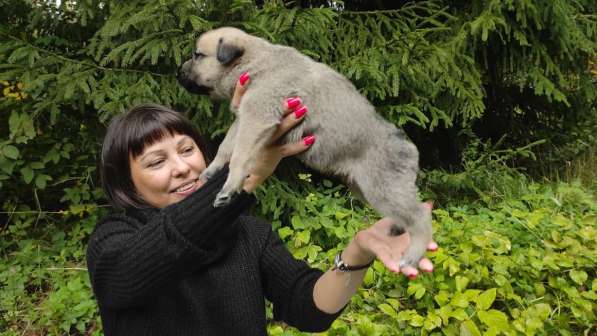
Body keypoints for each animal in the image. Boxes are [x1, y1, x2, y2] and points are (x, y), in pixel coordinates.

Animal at [175, 26, 430, 270]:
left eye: (197, 55)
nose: (178, 72)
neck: (255, 61)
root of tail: (407, 145)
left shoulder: (257, 116)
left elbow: (240, 155)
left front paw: (230, 185)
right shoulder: (244, 118)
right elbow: (227, 146)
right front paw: (213, 170)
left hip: (383, 189)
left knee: (421, 216)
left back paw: (412, 255)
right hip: (368, 190)